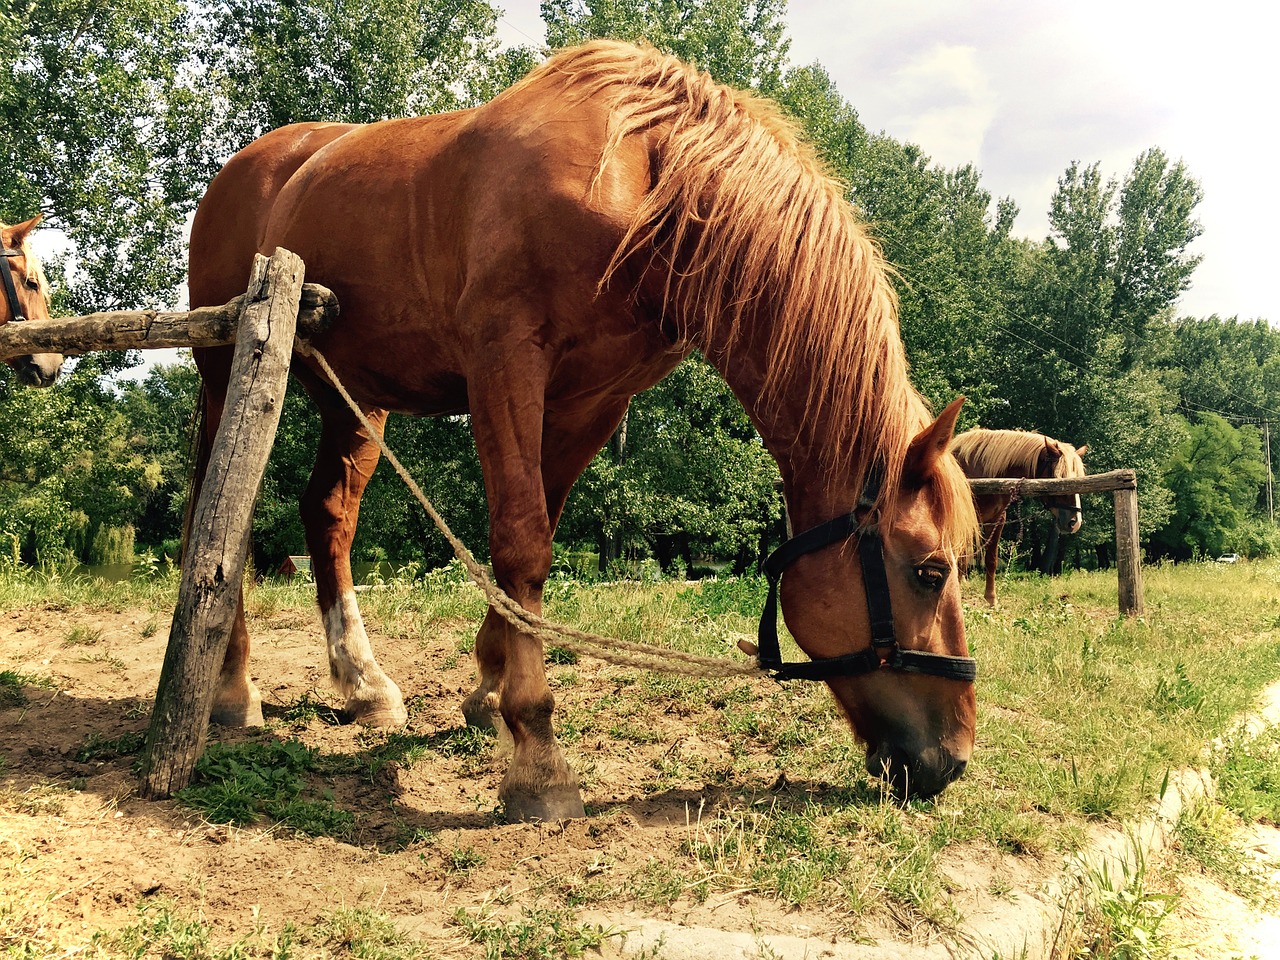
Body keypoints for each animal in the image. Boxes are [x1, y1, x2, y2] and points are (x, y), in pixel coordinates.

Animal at [185, 39, 977, 819]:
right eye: (930, 571)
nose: (952, 760)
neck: (645, 184)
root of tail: (250, 166)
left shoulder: (592, 401)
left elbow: (535, 537)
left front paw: (490, 687)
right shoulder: (504, 363)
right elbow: (522, 541)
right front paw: (537, 755)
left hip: (354, 397)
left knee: (329, 515)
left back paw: (363, 685)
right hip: (232, 369)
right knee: (217, 513)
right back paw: (230, 688)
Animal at [952, 430, 1090, 604]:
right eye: (1058, 479)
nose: (1074, 522)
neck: (979, 472)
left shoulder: (997, 520)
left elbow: (990, 559)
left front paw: (991, 599)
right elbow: (961, 560)